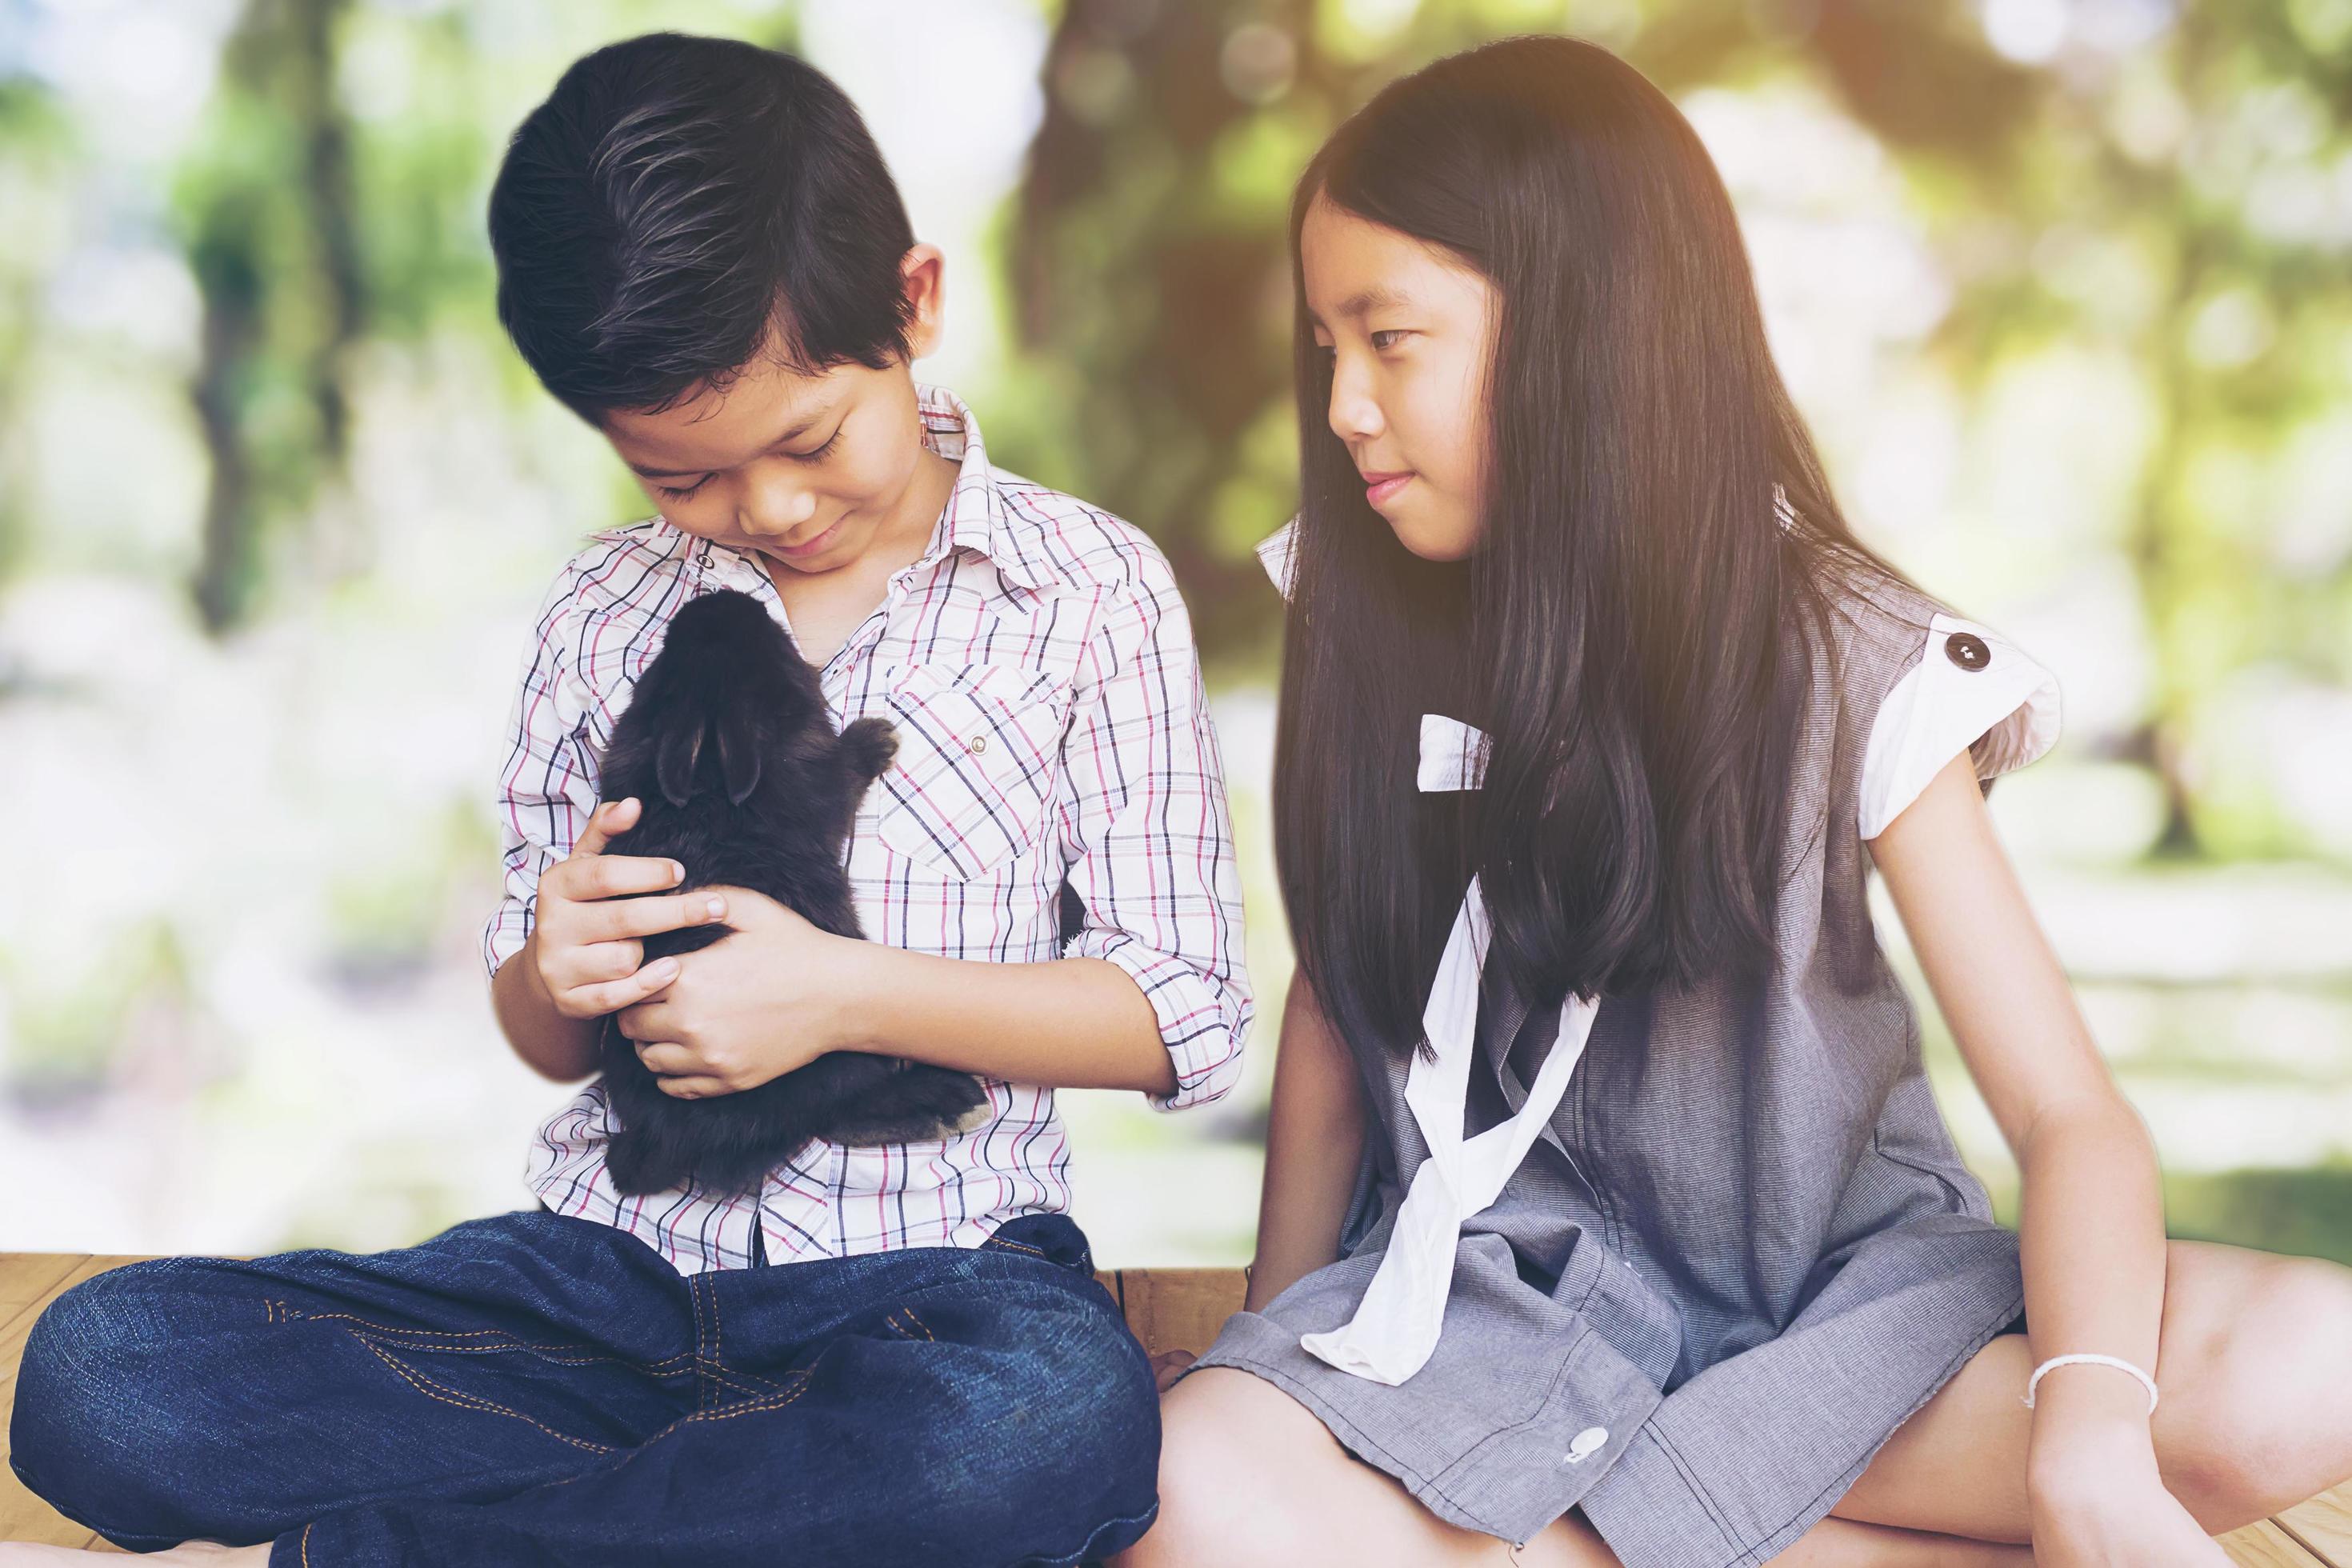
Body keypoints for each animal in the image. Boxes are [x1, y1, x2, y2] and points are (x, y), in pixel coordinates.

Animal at [597, 582, 992, 1194]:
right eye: (772, 652)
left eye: (665, 654)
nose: (729, 598)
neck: (707, 784)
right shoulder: (821, 789)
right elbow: (846, 775)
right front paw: (876, 738)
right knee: (833, 1111)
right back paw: (952, 1103)